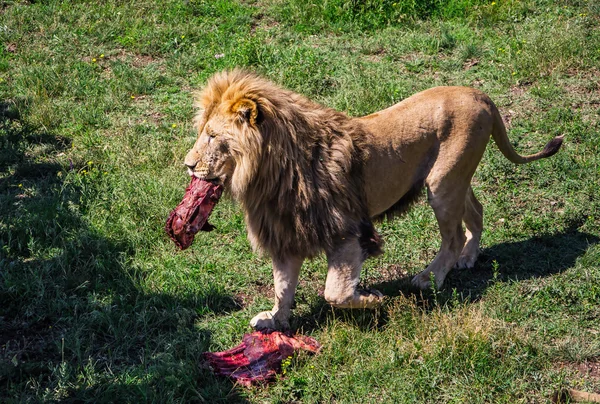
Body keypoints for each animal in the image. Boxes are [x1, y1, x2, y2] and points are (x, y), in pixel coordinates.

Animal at [183, 68, 564, 328]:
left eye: (213, 136)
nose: (188, 165)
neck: (269, 172)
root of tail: (480, 95)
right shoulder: (288, 234)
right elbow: (283, 286)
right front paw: (275, 320)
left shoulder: (347, 231)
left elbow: (335, 293)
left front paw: (373, 299)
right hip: (454, 180)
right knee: (477, 212)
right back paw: (468, 258)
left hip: (442, 185)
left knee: (453, 235)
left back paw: (430, 279)